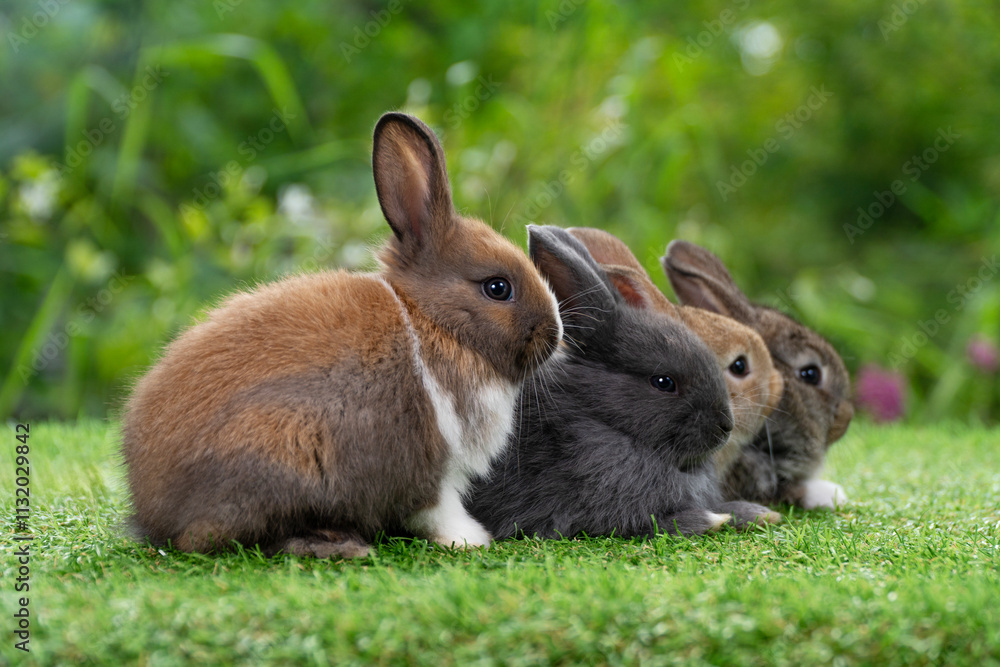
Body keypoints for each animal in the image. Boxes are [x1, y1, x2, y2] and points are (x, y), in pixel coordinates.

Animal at [121, 112, 563, 558]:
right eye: (497, 288)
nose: (555, 334)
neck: (432, 322)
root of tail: (152, 515)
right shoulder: (430, 464)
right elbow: (438, 510)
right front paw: (471, 539)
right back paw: (337, 545)